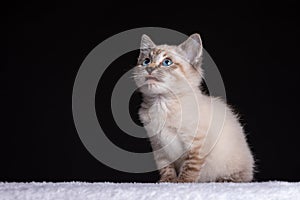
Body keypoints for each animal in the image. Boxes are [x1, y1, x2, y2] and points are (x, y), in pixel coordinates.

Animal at [134, 33, 253, 182]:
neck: (162, 103)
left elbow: (190, 166)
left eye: (167, 62)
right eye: (146, 61)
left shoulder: (196, 144)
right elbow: (165, 166)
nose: (149, 68)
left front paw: (183, 182)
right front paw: (167, 181)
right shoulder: (157, 144)